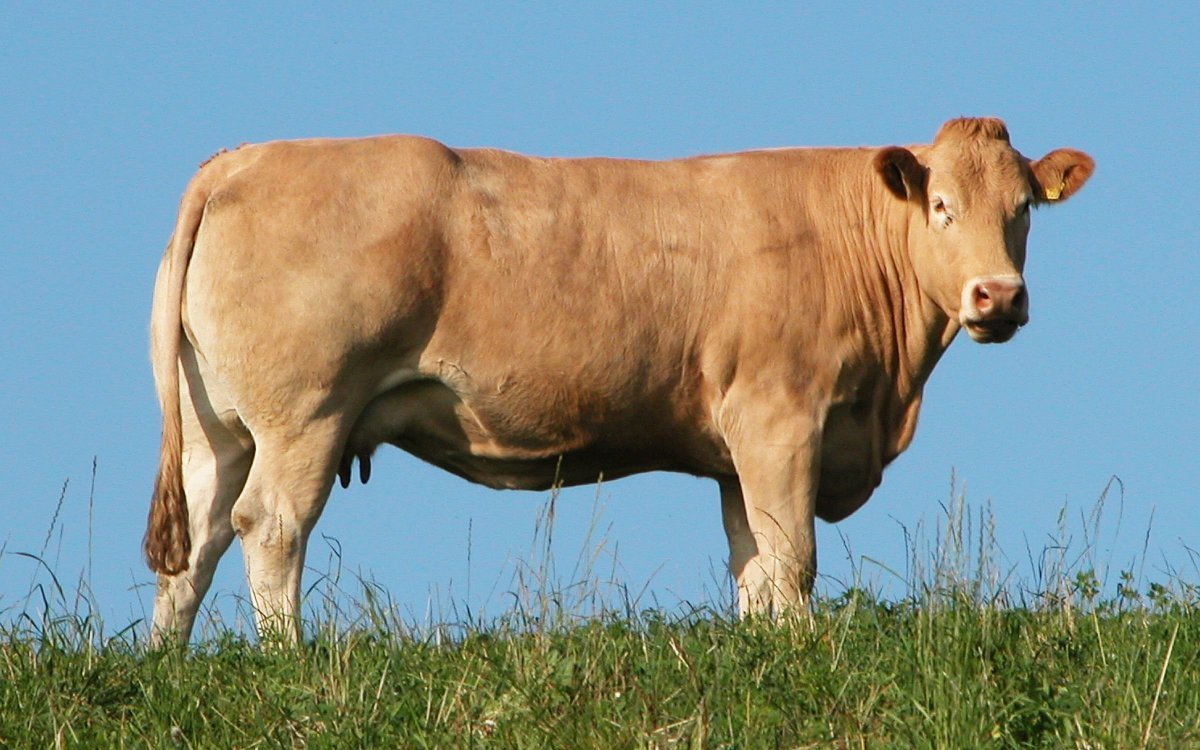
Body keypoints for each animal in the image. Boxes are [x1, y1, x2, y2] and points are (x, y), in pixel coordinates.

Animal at [145, 117, 1093, 644]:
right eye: (941, 207)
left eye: (1023, 211)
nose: (998, 296)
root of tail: (242, 159)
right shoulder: (781, 415)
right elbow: (793, 557)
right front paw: (803, 655)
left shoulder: (735, 448)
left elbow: (753, 563)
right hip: (306, 413)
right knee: (270, 528)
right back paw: (290, 661)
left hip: (218, 427)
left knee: (196, 543)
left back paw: (168, 668)